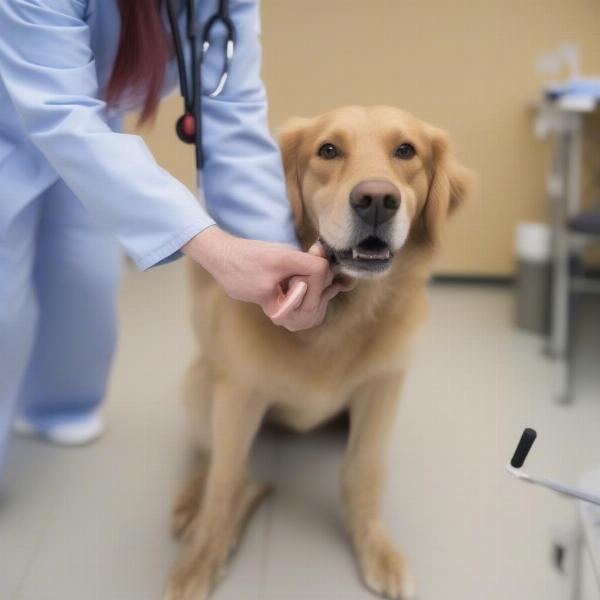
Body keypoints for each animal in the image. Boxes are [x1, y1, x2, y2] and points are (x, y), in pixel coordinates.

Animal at [166, 106, 472, 600]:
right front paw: (199, 561)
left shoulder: (383, 388)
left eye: (406, 150)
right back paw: (198, 505)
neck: (339, 318)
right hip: (199, 384)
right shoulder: (238, 394)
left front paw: (377, 549)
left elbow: (364, 472)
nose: (376, 200)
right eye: (328, 150)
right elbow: (225, 479)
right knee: (218, 463)